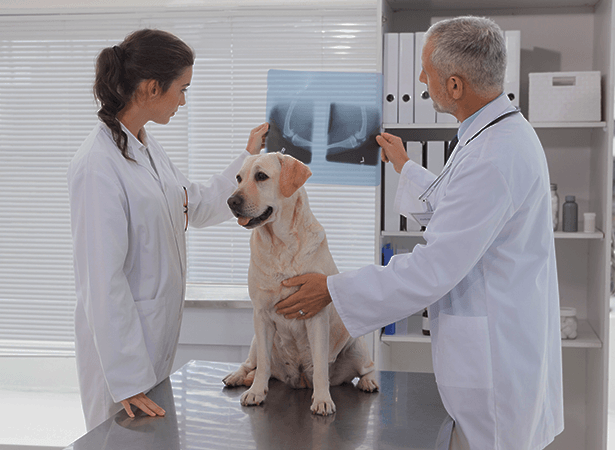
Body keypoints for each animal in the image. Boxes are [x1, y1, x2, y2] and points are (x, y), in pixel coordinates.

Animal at [224, 152, 378, 414]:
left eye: (261, 176)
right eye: (238, 178)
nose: (231, 201)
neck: (280, 245)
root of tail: (299, 380)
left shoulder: (315, 315)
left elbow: (320, 364)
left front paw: (323, 400)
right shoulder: (260, 315)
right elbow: (263, 365)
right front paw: (256, 392)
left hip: (356, 346)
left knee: (367, 367)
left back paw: (368, 382)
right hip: (255, 341)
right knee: (251, 364)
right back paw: (236, 377)